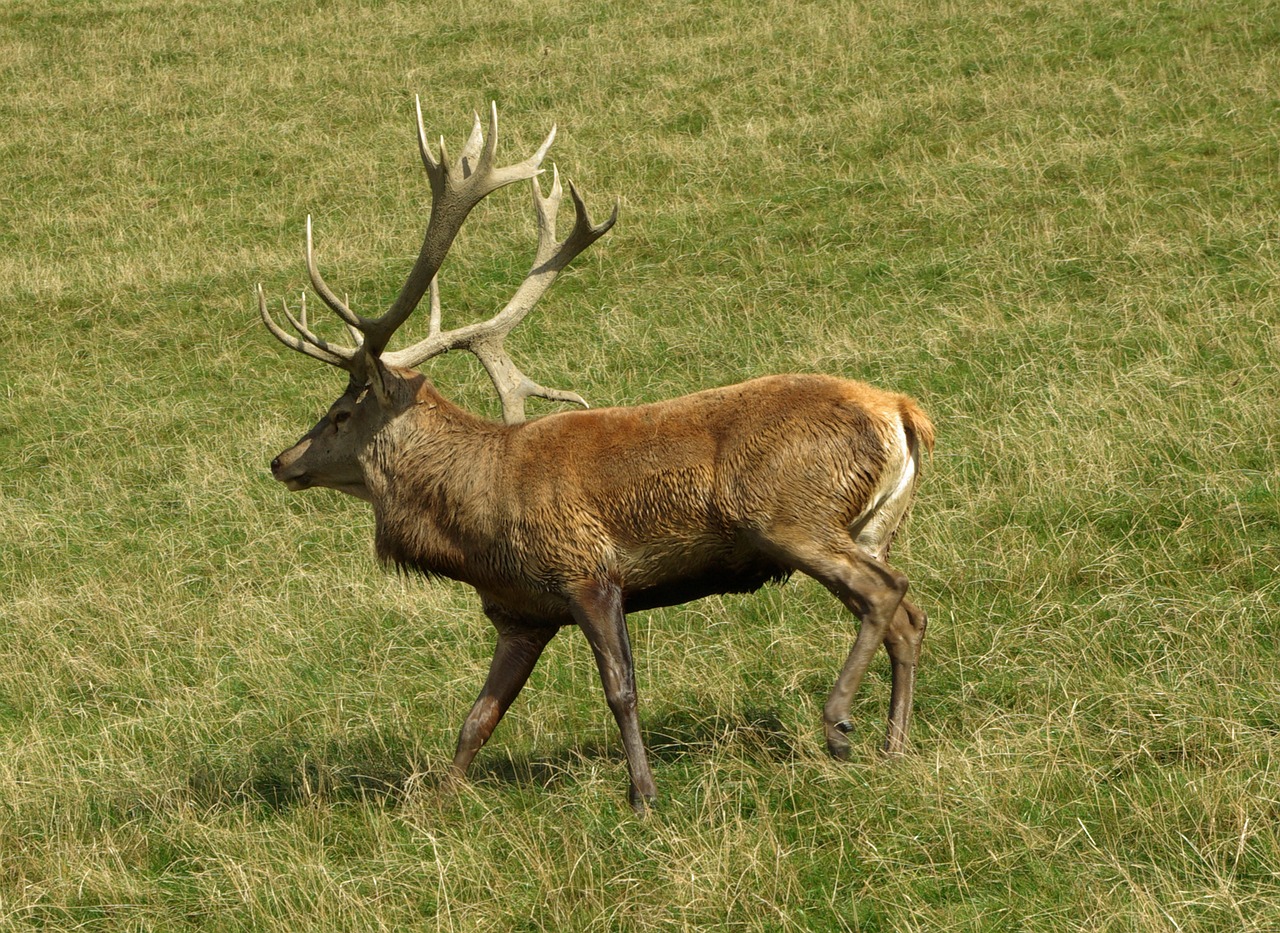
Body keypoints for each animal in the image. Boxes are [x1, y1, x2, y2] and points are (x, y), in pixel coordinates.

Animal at [257, 101, 931, 808]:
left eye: (341, 413)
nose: (280, 460)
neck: (475, 530)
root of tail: (902, 413)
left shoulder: (587, 572)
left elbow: (620, 691)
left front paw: (644, 796)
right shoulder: (521, 614)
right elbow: (478, 716)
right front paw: (440, 801)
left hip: (791, 516)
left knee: (887, 594)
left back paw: (839, 724)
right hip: (871, 524)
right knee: (908, 616)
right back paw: (894, 746)